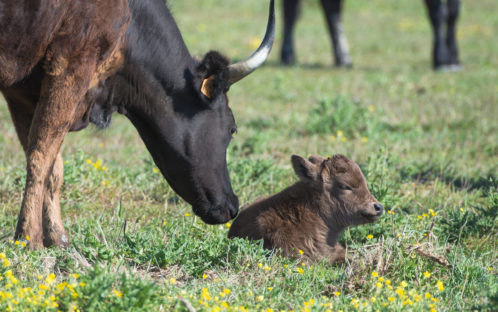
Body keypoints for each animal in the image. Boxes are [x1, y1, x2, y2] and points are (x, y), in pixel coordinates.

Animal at [0, 0, 276, 249]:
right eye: (232, 129)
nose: (232, 206)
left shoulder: (22, 92)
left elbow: (51, 166)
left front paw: (56, 237)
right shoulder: (71, 65)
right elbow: (41, 158)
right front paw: (28, 238)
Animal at [282, 0, 462, 70]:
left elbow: (453, 12)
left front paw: (454, 58)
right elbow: (438, 12)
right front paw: (441, 59)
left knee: (331, 10)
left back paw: (343, 58)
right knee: (290, 10)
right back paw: (288, 55)